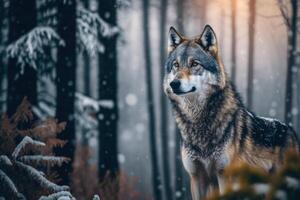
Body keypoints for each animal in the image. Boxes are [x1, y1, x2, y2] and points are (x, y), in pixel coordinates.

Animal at [164, 25, 300, 200]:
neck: (198, 122)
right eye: (176, 65)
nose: (174, 84)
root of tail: (290, 129)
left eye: (194, 64)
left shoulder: (224, 175)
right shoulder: (196, 177)